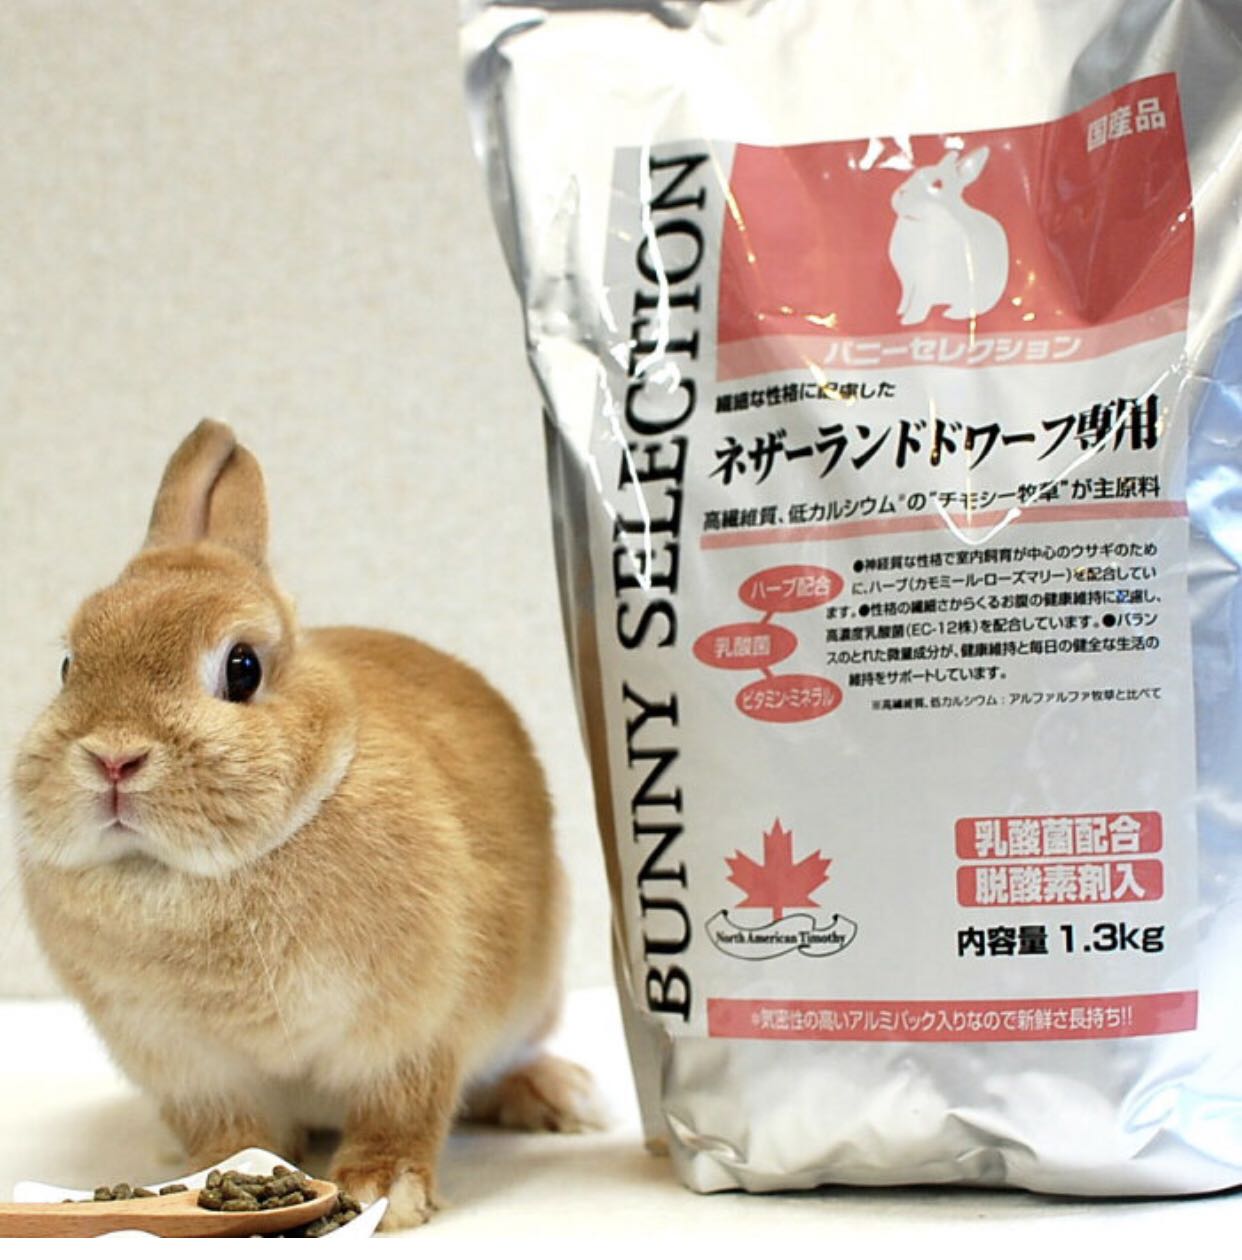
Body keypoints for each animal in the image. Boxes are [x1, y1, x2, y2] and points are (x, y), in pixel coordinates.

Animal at [11, 420, 603, 1231]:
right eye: (70, 667)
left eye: (243, 668)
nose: (114, 757)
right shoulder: (187, 1067)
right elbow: (230, 1134)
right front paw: (215, 1176)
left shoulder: (414, 1034)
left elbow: (403, 1110)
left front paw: (385, 1191)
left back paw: (561, 1096)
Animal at [888, 146, 1010, 326]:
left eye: (938, 184)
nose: (902, 192)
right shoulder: (908, 281)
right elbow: (906, 297)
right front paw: (900, 311)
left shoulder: (926, 282)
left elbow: (919, 302)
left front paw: (909, 320)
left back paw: (951, 314)